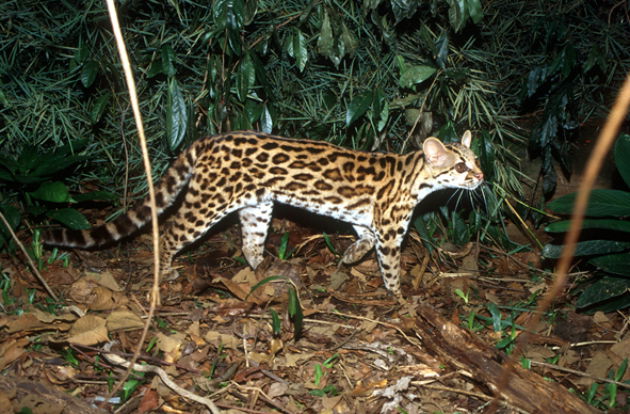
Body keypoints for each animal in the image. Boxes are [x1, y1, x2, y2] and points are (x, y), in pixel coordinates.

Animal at [44, 131, 486, 296]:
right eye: (460, 166)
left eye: (477, 159)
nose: (482, 176)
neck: (415, 175)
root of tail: (208, 140)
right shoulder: (391, 232)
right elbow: (391, 268)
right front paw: (399, 298)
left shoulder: (368, 221)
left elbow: (361, 240)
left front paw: (349, 257)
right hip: (208, 202)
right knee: (169, 231)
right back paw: (165, 269)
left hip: (257, 207)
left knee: (249, 244)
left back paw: (264, 273)